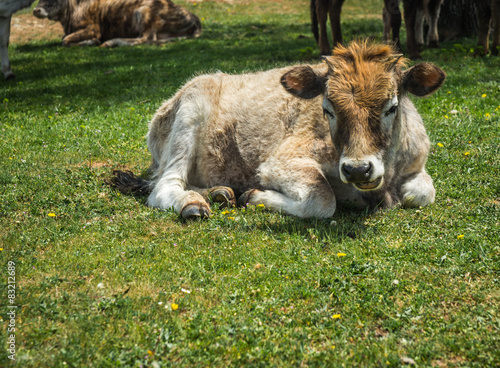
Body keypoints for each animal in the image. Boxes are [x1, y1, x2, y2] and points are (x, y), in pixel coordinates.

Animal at [32, 0, 201, 46]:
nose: (36, 10)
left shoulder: (93, 28)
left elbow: (65, 40)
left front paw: (91, 42)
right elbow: (64, 38)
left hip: (144, 13)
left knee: (145, 39)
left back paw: (112, 42)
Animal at [110, 41, 446, 218]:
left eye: (392, 106)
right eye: (327, 109)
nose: (358, 169)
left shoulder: (416, 165)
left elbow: (423, 192)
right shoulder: (280, 161)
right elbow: (321, 200)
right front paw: (256, 196)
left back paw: (220, 192)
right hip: (189, 113)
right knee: (164, 186)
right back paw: (193, 203)